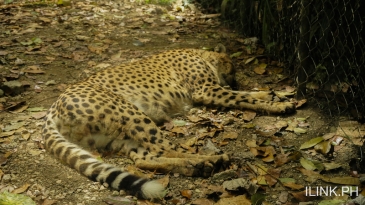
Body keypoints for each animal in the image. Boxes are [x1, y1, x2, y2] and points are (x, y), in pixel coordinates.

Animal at [41, 47, 294, 199]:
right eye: (232, 69)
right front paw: (278, 104)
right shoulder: (206, 90)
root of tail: (53, 106)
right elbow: (242, 97)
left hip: (117, 136)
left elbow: (245, 94)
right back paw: (208, 160)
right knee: (165, 148)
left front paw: (272, 94)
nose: (234, 80)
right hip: (131, 113)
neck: (201, 54)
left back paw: (196, 166)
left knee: (145, 158)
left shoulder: (212, 89)